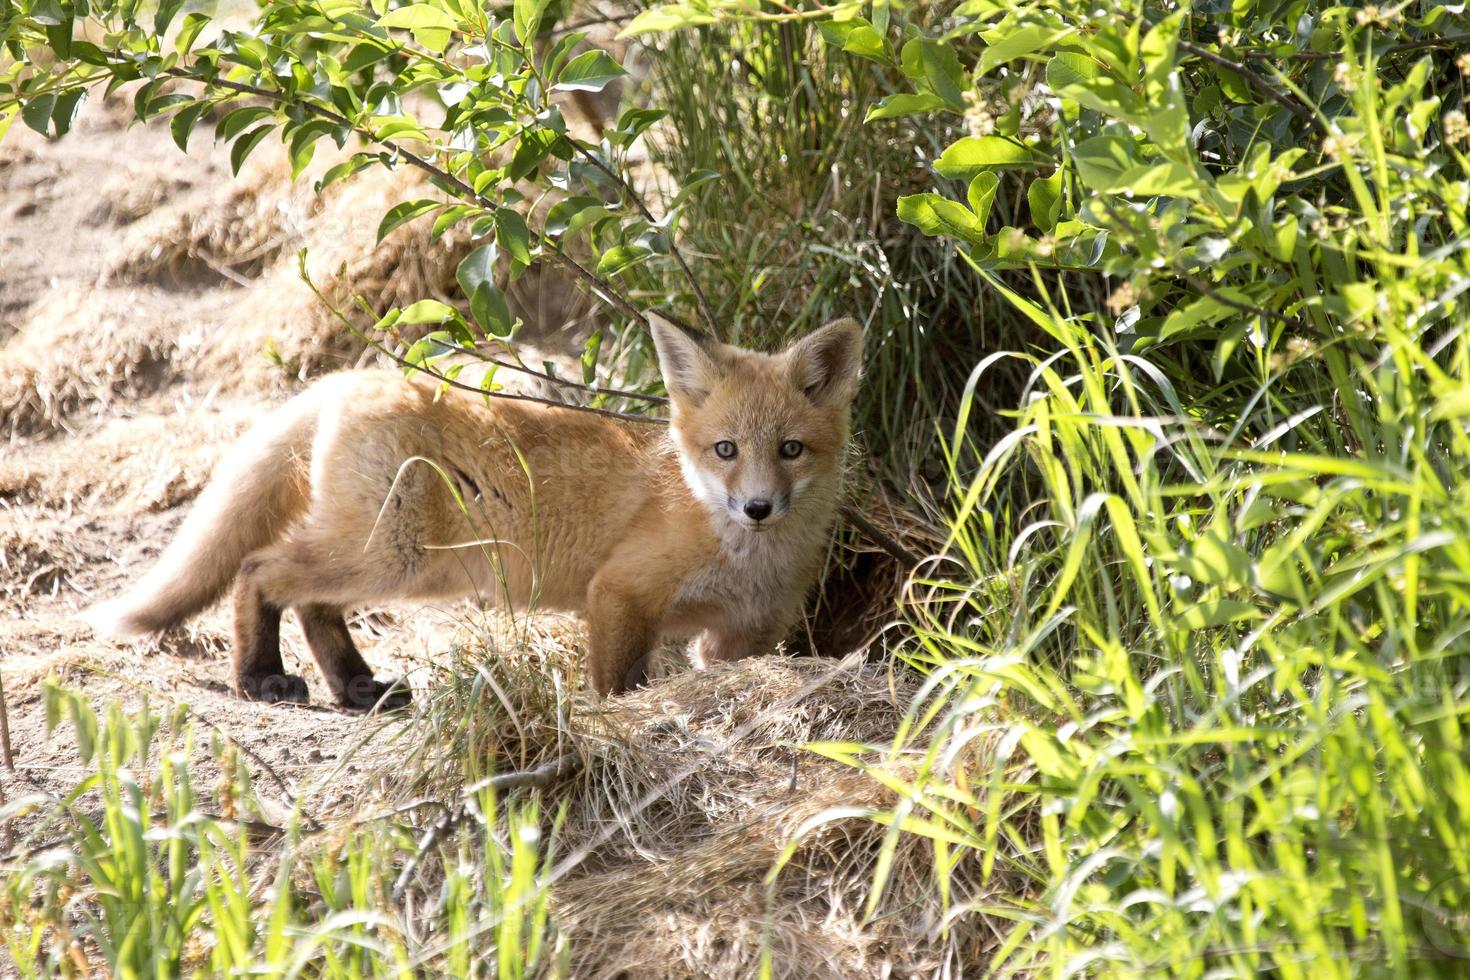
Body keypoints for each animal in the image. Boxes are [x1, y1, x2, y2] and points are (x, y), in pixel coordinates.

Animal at [83, 318, 858, 708]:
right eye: (725, 449)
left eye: (790, 449)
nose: (757, 507)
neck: (745, 558)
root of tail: (349, 378)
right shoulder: (620, 591)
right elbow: (615, 685)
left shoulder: (741, 636)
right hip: (389, 557)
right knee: (257, 569)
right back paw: (257, 679)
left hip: (386, 562)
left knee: (309, 601)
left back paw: (356, 686)